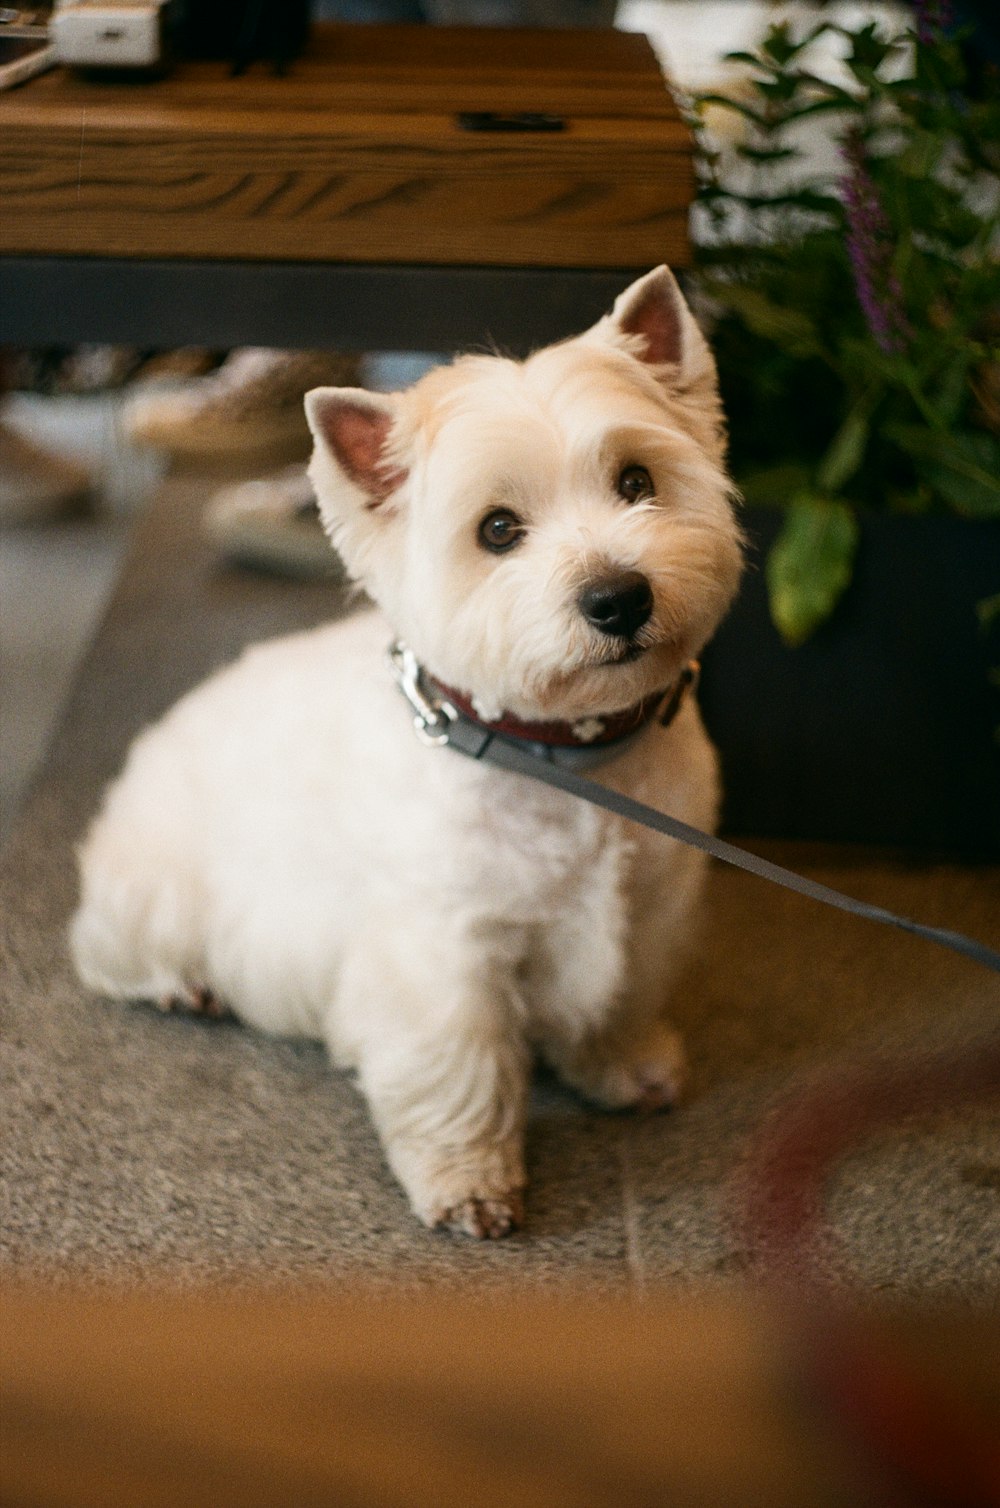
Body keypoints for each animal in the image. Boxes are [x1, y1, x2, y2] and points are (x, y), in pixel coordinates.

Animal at [70, 271, 742, 1236]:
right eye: (497, 530)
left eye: (637, 480)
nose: (618, 598)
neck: (562, 759)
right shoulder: (441, 951)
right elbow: (458, 1068)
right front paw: (471, 1185)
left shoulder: (647, 907)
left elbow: (616, 998)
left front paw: (625, 1067)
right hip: (156, 893)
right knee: (104, 952)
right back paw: (182, 984)